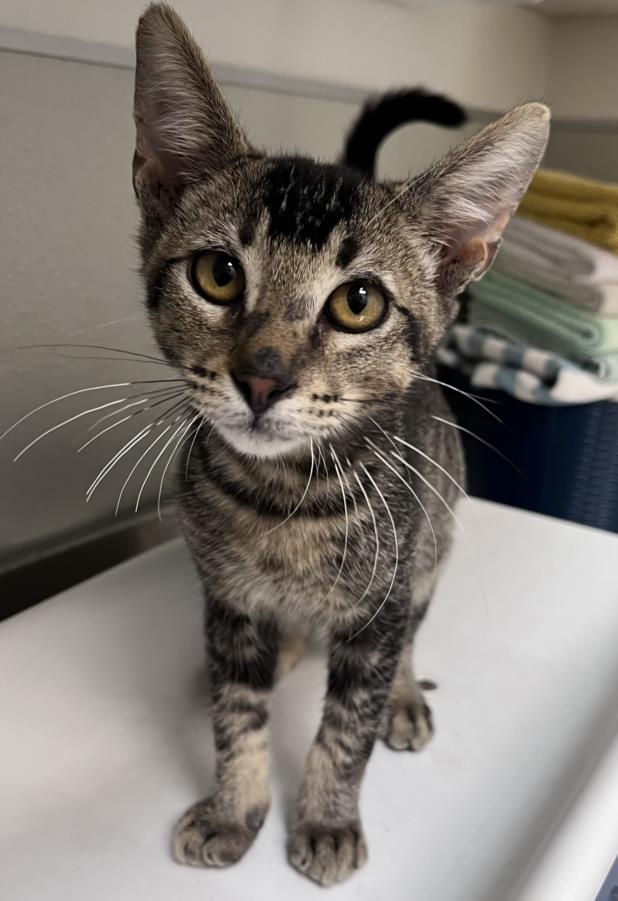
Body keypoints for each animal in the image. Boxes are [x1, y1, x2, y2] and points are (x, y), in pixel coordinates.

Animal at [132, 1, 548, 884]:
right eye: (218, 273)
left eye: (359, 303)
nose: (261, 379)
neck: (284, 500)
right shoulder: (228, 597)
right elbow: (237, 711)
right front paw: (235, 808)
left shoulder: (380, 605)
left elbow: (345, 728)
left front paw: (325, 820)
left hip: (432, 541)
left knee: (416, 626)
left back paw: (405, 697)